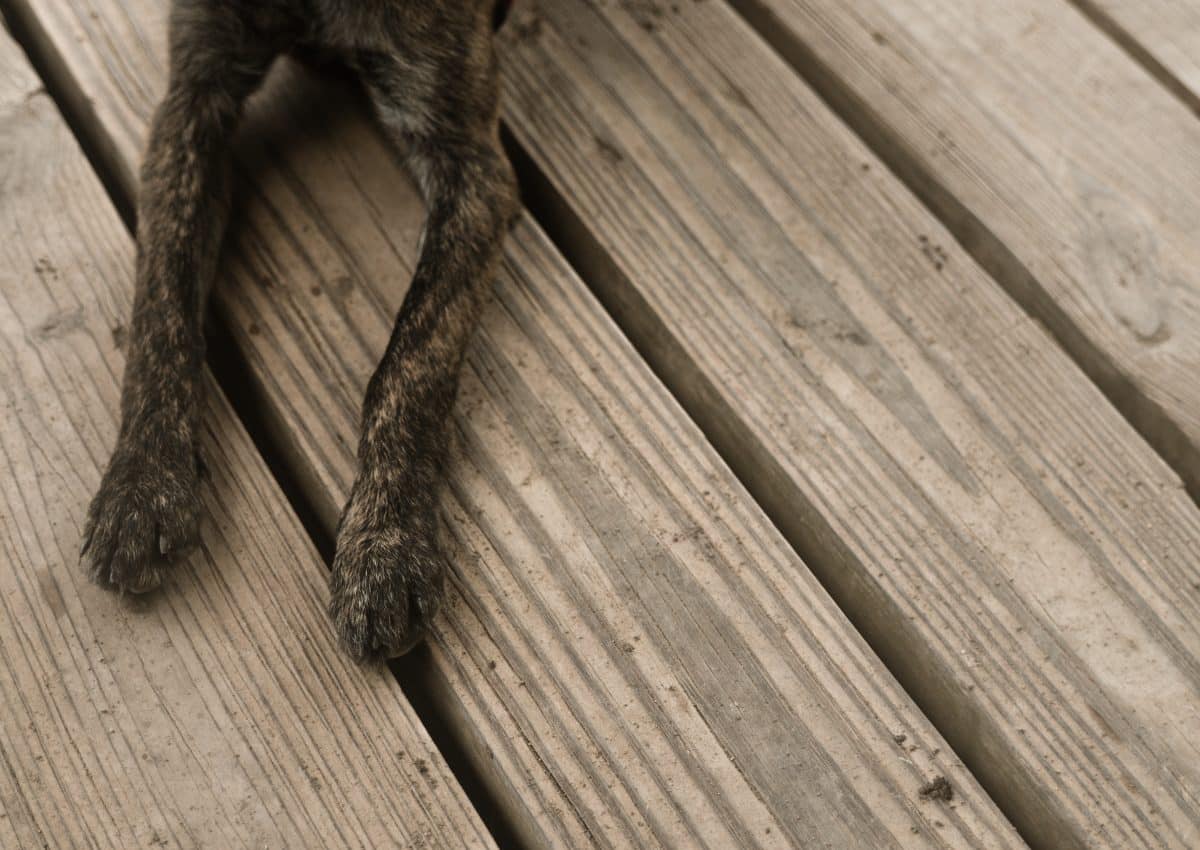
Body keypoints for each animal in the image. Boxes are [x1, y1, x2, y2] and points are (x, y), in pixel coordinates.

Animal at [79, 0, 520, 662]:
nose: (387, 539)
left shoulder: (471, 163)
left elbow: (412, 358)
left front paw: (385, 542)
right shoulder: (192, 97)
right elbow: (160, 302)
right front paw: (142, 480)